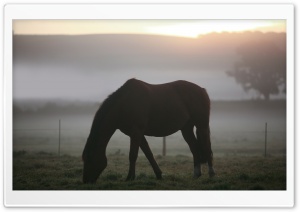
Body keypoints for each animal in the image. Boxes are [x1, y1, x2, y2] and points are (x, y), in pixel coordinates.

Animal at [81, 78, 214, 183]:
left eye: (89, 160)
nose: (86, 181)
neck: (124, 104)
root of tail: (202, 90)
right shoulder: (137, 134)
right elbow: (148, 153)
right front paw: (159, 175)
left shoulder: (136, 132)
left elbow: (133, 155)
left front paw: (130, 178)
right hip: (186, 129)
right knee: (194, 149)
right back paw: (196, 175)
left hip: (202, 126)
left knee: (207, 147)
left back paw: (211, 175)